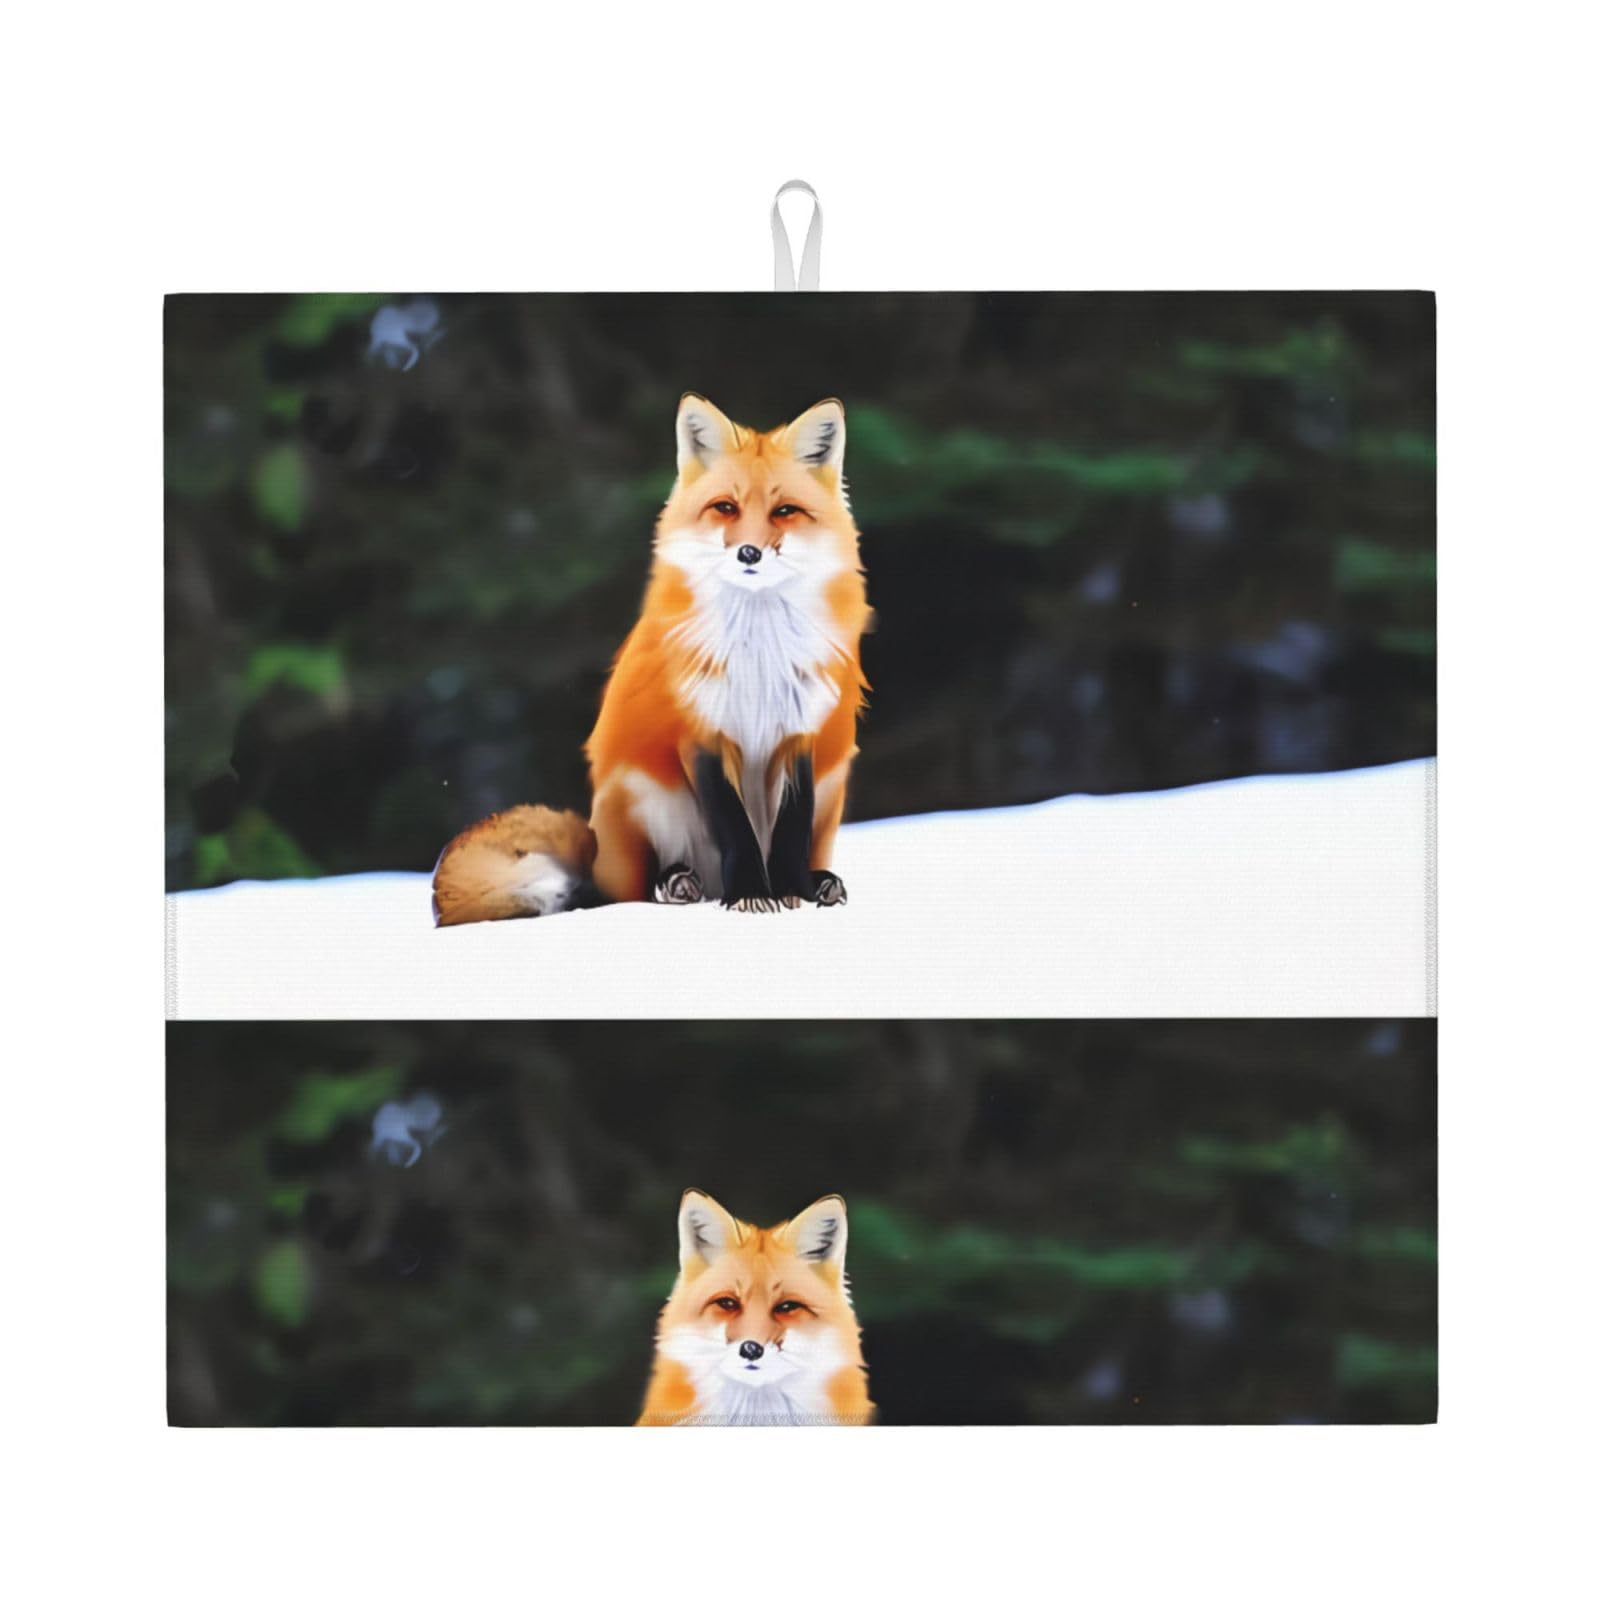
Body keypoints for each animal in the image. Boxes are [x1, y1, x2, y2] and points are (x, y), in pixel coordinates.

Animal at [431, 392, 871, 923]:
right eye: (726, 508)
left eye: (785, 510)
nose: (749, 553)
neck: (757, 657)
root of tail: (595, 852)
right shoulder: (700, 735)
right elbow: (735, 830)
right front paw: (750, 894)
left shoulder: (800, 733)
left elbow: (789, 831)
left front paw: (792, 894)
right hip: (645, 797)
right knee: (628, 891)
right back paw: (676, 884)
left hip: (833, 786)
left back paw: (820, 882)